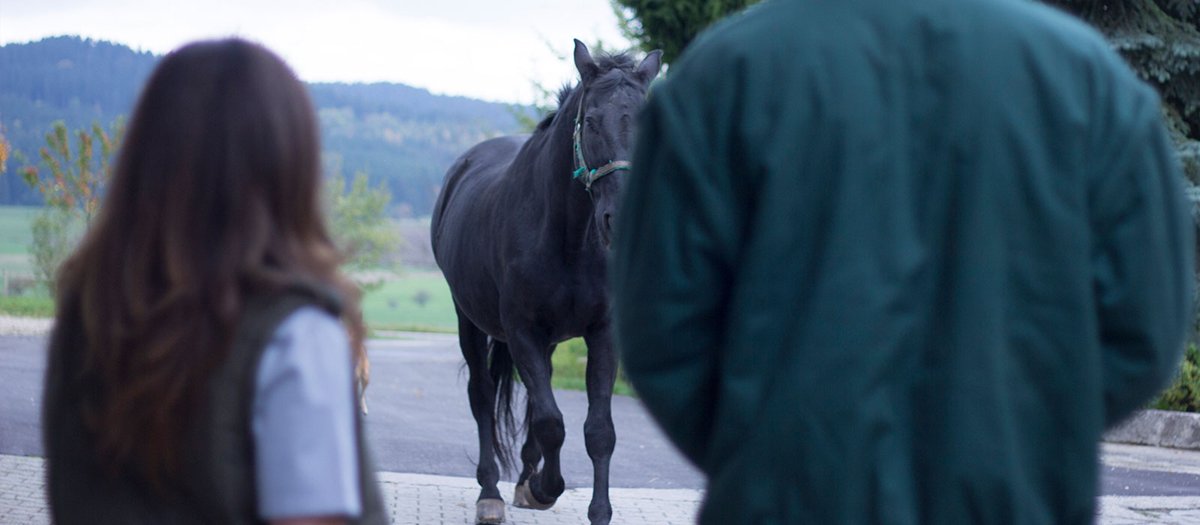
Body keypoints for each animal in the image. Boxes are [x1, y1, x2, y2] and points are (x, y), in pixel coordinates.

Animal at [432, 41, 662, 525]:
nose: (620, 219)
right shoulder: (522, 332)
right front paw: (544, 488)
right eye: (591, 121)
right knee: (483, 397)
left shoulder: (601, 333)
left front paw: (597, 511)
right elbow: (550, 421)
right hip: (468, 321)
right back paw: (491, 493)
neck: (568, 238)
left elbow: (598, 430)